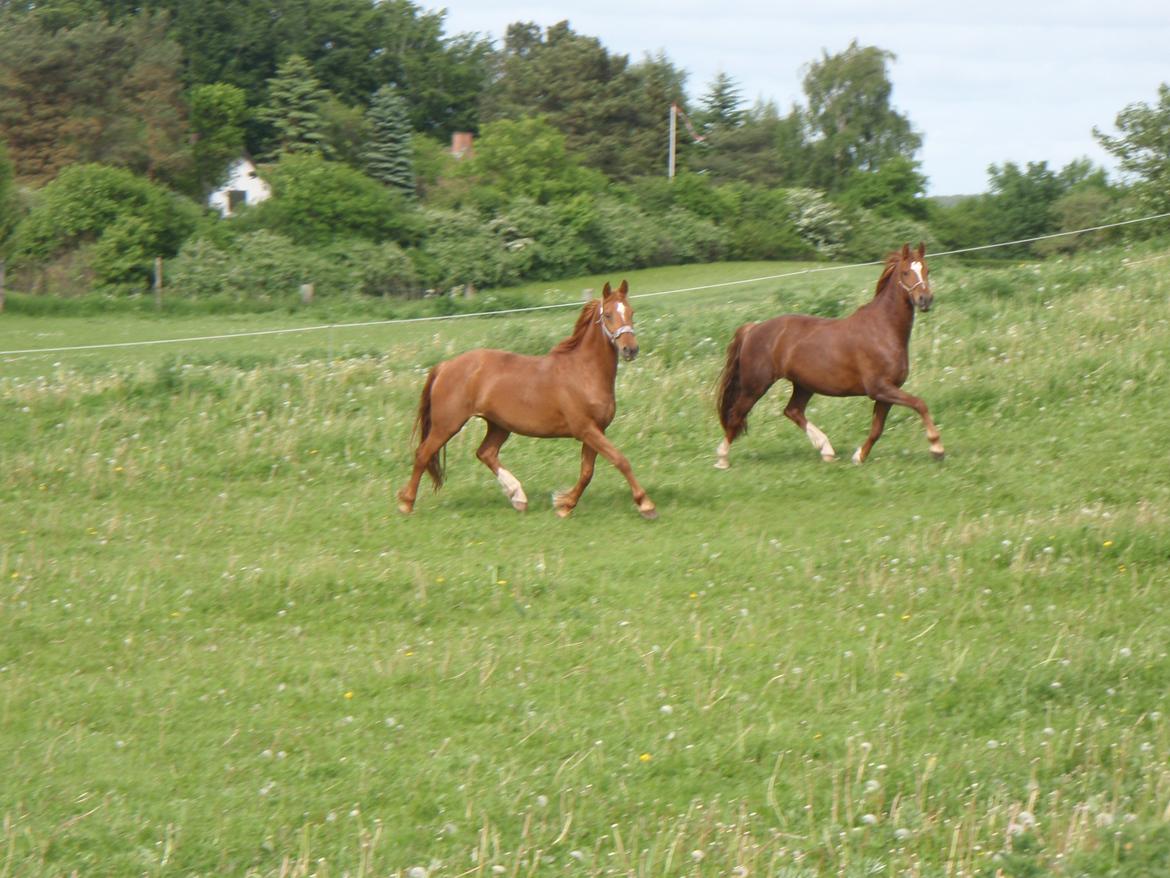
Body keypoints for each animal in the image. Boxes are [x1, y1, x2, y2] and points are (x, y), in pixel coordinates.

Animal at [397, 282, 659, 519]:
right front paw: (646, 505)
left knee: (485, 453)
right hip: (448, 424)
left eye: (631, 312)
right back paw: (406, 504)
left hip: (499, 425)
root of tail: (444, 366)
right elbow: (620, 460)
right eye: (608, 314)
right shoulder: (586, 429)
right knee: (423, 453)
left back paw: (518, 497)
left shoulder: (595, 430)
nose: (630, 349)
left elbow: (587, 472)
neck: (583, 372)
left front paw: (564, 505)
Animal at [711, 244, 940, 470]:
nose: (925, 300)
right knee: (736, 415)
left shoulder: (887, 392)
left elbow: (877, 429)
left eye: (927, 270)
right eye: (906, 272)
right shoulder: (879, 388)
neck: (883, 330)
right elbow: (919, 404)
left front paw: (859, 457)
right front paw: (937, 448)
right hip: (755, 386)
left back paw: (826, 450)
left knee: (793, 411)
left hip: (803, 385)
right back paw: (722, 459)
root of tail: (752, 329)